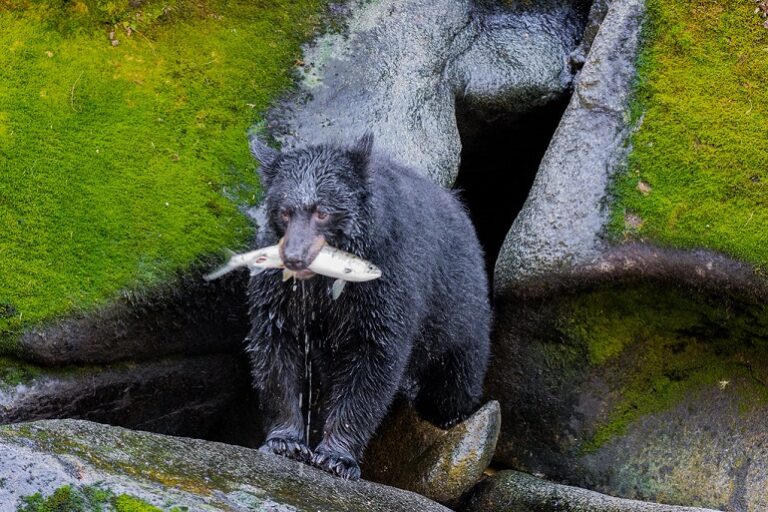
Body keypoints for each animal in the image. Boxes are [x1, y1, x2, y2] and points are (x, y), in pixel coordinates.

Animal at [246, 133, 490, 480]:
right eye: (284, 212)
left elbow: (374, 358)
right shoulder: (280, 288)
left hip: (460, 308)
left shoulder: (386, 276)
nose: (294, 257)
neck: (327, 275)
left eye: (322, 212)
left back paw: (450, 414)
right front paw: (286, 442)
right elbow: (277, 345)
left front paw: (336, 458)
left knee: (458, 371)